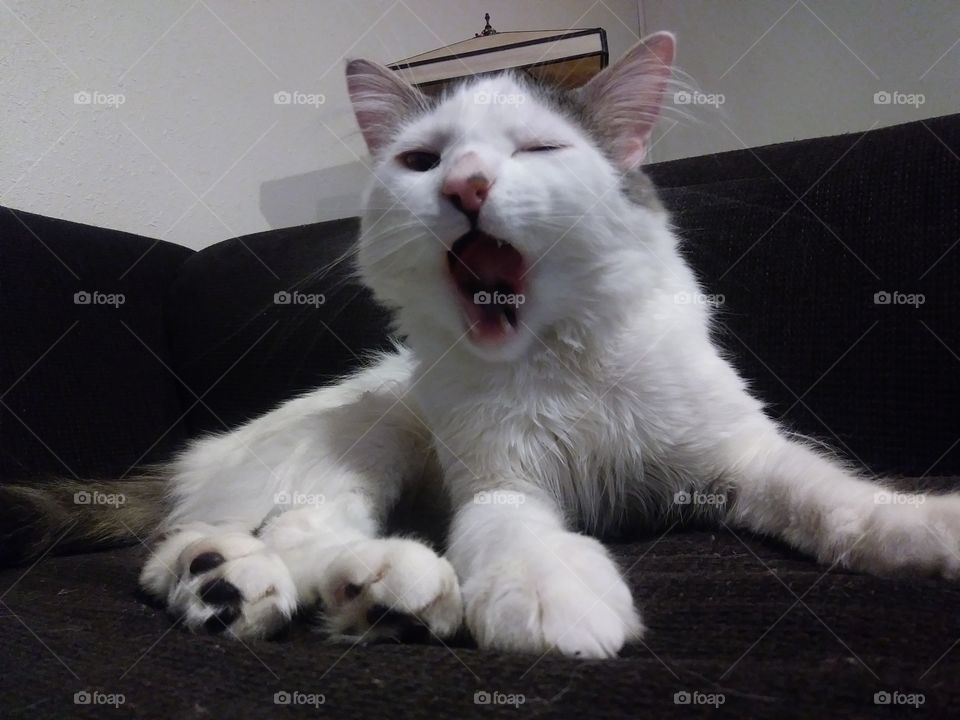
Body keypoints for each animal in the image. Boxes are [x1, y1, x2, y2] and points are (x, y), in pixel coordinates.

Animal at [133, 33, 960, 660]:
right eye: (423, 162)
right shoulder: (502, 481)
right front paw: (547, 596)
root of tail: (192, 459)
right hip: (377, 432)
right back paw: (280, 583)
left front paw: (925, 527)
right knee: (276, 534)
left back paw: (322, 595)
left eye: (536, 148)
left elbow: (834, 497)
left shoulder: (741, 455)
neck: (562, 355)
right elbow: (517, 535)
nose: (465, 186)